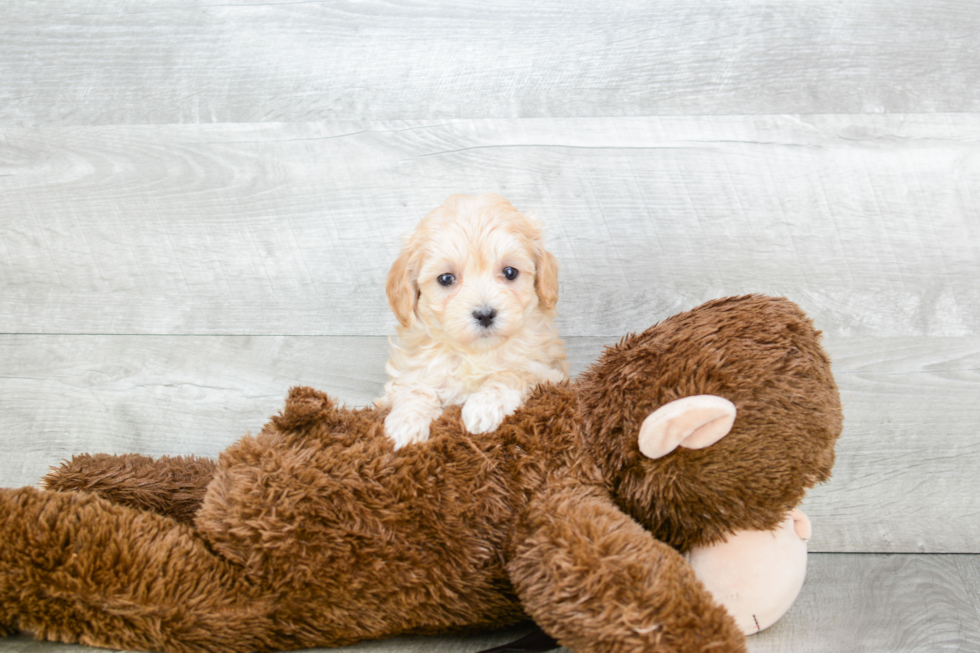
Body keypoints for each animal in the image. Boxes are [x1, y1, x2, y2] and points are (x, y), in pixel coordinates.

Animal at [378, 194, 576, 448]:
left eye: (510, 272)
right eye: (446, 278)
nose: (485, 314)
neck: (474, 353)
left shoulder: (549, 373)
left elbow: (514, 373)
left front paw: (484, 408)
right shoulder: (409, 370)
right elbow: (414, 388)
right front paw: (406, 423)